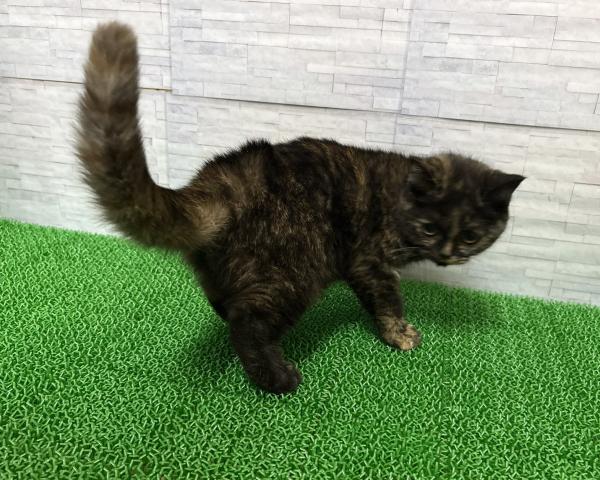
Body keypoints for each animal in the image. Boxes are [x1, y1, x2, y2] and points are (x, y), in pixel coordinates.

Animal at [76, 22, 524, 394]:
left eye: (471, 235)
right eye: (431, 228)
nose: (450, 254)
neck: (400, 196)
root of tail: (219, 182)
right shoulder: (371, 262)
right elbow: (389, 301)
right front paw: (398, 334)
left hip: (224, 267)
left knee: (224, 302)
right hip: (294, 272)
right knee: (248, 323)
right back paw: (277, 378)